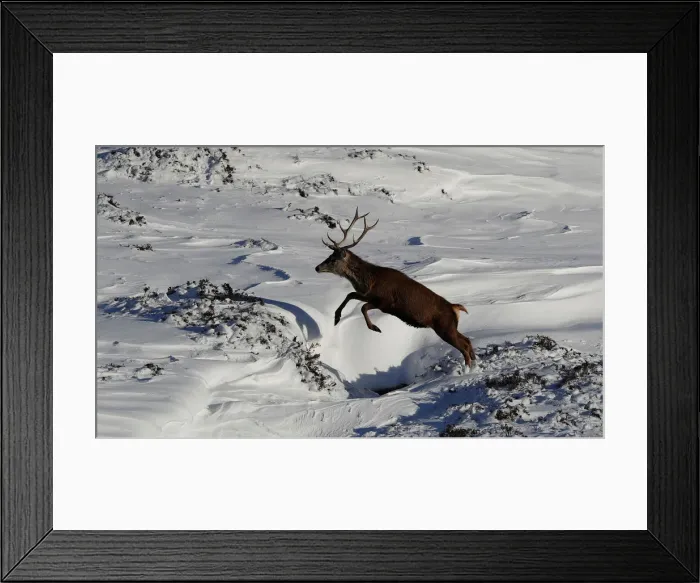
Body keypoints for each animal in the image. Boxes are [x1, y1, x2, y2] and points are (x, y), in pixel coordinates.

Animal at [315, 208, 477, 368]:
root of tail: (454, 308)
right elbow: (350, 294)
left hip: (444, 327)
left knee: (464, 346)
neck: (370, 281)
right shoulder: (368, 295)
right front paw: (336, 317)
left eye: (333, 259)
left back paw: (468, 368)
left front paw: (375, 327)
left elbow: (362, 307)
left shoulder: (385, 302)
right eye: (329, 256)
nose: (317, 267)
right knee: (467, 340)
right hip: (449, 327)